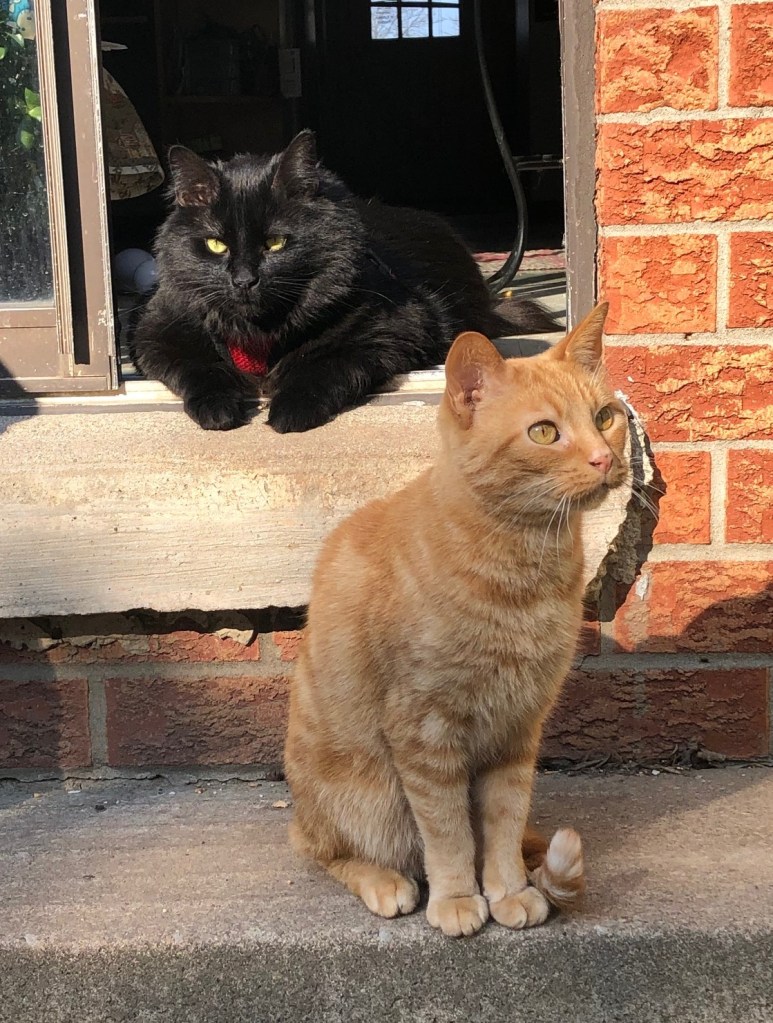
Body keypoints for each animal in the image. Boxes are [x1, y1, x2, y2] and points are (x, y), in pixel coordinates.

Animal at [129, 130, 556, 434]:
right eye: (217, 244)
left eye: (275, 242)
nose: (244, 280)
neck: (260, 334)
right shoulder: (156, 333)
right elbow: (198, 366)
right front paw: (218, 410)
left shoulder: (396, 328)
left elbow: (326, 362)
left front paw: (289, 410)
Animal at [284, 303, 629, 936]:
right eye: (545, 432)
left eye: (605, 417)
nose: (605, 459)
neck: (523, 568)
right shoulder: (425, 731)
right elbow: (446, 833)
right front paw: (458, 898)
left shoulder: (517, 730)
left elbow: (502, 824)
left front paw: (508, 890)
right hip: (360, 797)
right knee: (327, 850)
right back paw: (385, 881)